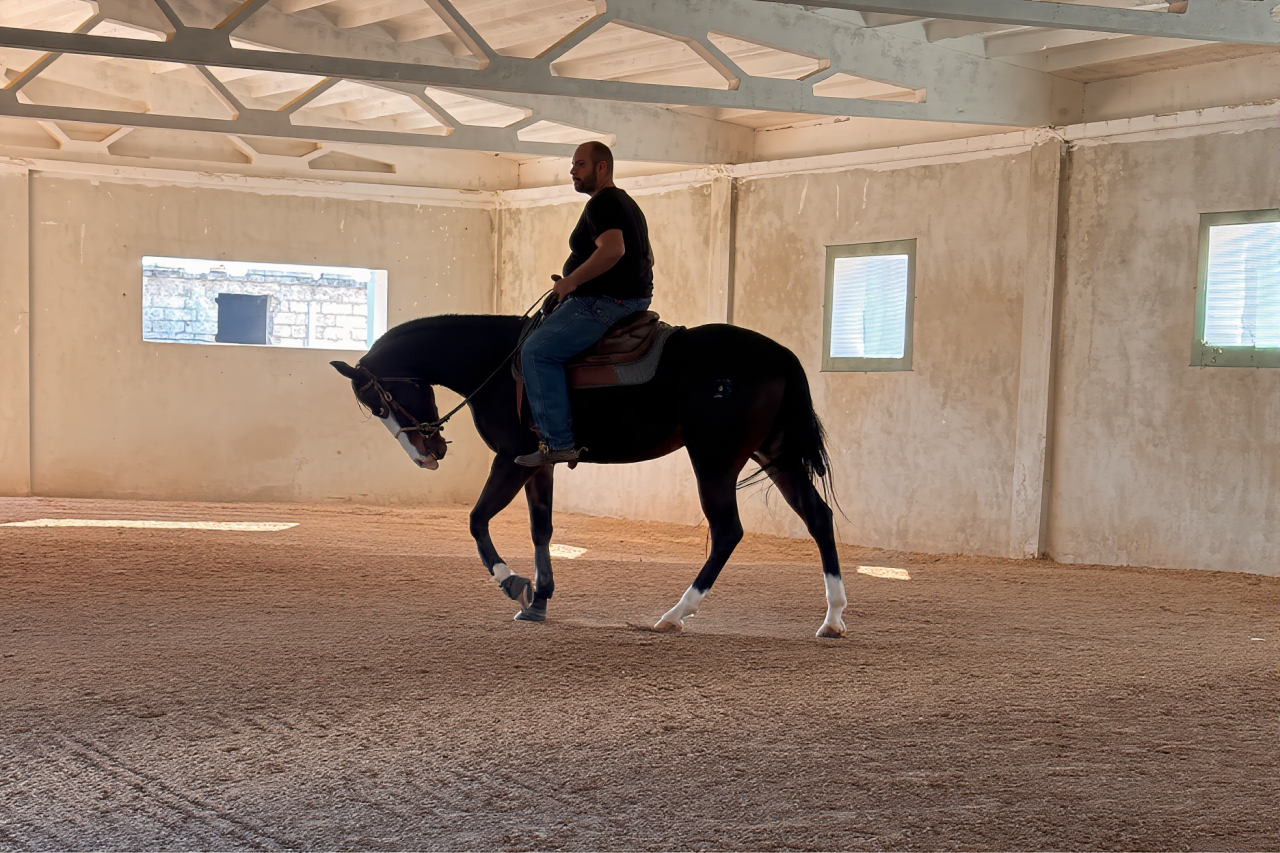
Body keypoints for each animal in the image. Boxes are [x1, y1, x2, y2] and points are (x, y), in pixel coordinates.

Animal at [331, 312, 848, 638]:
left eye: (380, 400)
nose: (427, 455)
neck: (498, 362)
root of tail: (779, 355)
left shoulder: (509, 459)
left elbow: (477, 520)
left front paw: (512, 583)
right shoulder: (537, 464)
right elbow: (542, 529)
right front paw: (539, 600)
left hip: (716, 460)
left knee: (727, 532)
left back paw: (675, 614)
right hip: (774, 455)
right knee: (817, 517)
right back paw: (833, 619)